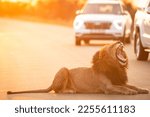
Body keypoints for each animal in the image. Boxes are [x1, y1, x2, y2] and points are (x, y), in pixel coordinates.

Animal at [7, 41, 149, 94]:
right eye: (113, 45)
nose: (120, 42)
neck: (117, 67)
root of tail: (51, 83)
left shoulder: (119, 81)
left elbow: (132, 85)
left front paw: (143, 89)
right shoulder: (108, 87)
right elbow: (121, 88)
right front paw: (130, 92)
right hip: (64, 69)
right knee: (57, 91)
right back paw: (69, 91)